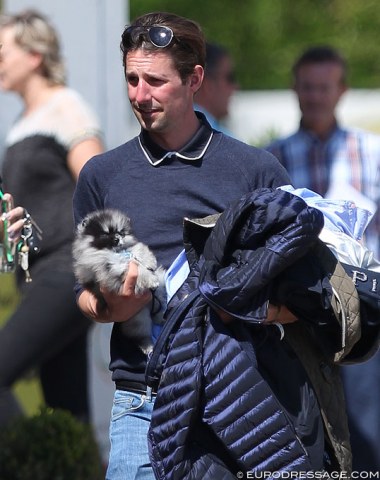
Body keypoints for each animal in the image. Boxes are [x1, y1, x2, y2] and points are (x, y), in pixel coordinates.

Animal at [72, 208, 165, 354]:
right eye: (105, 234)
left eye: (120, 232)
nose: (117, 238)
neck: (116, 252)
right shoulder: (113, 267)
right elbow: (139, 270)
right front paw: (150, 279)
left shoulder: (129, 249)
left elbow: (138, 248)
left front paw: (149, 261)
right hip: (138, 318)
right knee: (141, 334)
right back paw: (148, 346)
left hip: (159, 296)